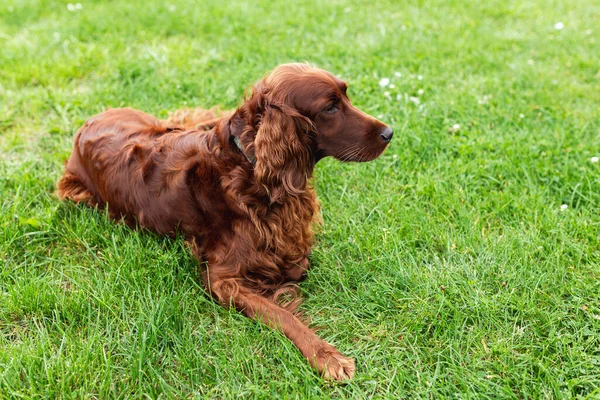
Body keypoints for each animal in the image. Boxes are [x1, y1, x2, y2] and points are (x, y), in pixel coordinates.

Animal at [57, 64, 394, 380]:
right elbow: (282, 313)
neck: (251, 166)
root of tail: (91, 119)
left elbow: (297, 265)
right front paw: (326, 355)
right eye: (330, 107)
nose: (389, 133)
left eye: (346, 95)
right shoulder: (221, 279)